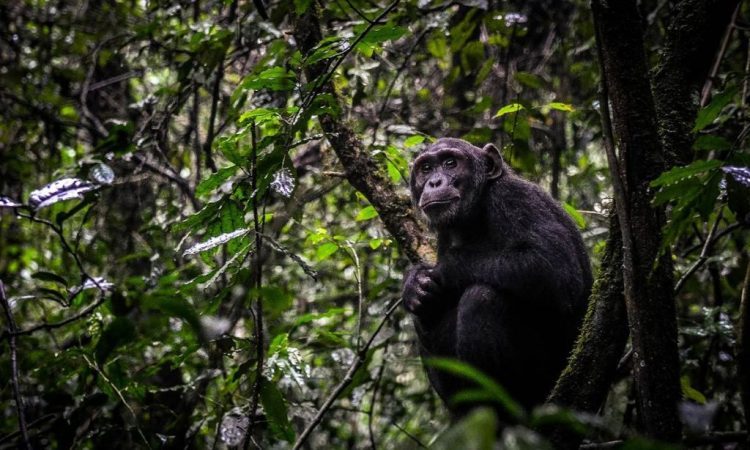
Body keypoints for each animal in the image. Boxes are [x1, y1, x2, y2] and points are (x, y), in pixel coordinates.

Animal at [406, 138, 592, 418]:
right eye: (426, 168)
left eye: (450, 163)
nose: (434, 182)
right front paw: (415, 285)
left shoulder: (514, 200)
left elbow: (554, 268)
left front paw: (437, 271)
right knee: (424, 317)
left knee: (482, 298)